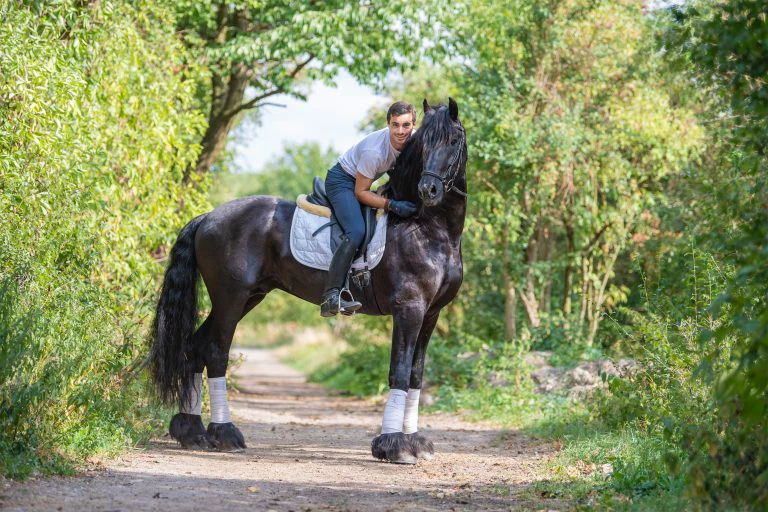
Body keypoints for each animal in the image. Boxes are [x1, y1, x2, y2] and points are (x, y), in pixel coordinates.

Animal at [147, 97, 464, 464]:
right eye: (424, 144)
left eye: (453, 140)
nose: (429, 190)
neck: (425, 227)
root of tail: (208, 217)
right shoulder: (408, 308)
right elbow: (398, 370)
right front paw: (393, 445)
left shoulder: (431, 313)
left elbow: (416, 374)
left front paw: (414, 442)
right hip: (231, 297)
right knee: (215, 351)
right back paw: (224, 434)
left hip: (248, 297)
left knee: (195, 347)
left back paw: (192, 432)